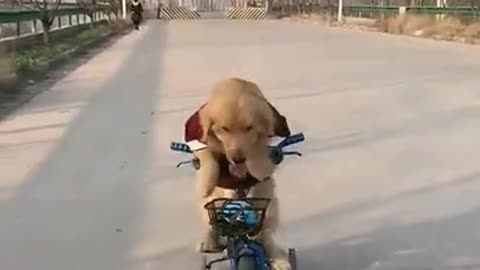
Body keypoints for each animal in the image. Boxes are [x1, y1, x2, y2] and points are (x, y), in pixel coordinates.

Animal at [183, 77, 290, 270]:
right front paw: (205, 184)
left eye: (249, 128)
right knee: (210, 225)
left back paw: (278, 258)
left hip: (269, 202)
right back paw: (208, 242)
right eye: (224, 129)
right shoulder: (197, 137)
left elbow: (259, 148)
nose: (238, 159)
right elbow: (206, 154)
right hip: (210, 205)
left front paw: (259, 166)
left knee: (265, 235)